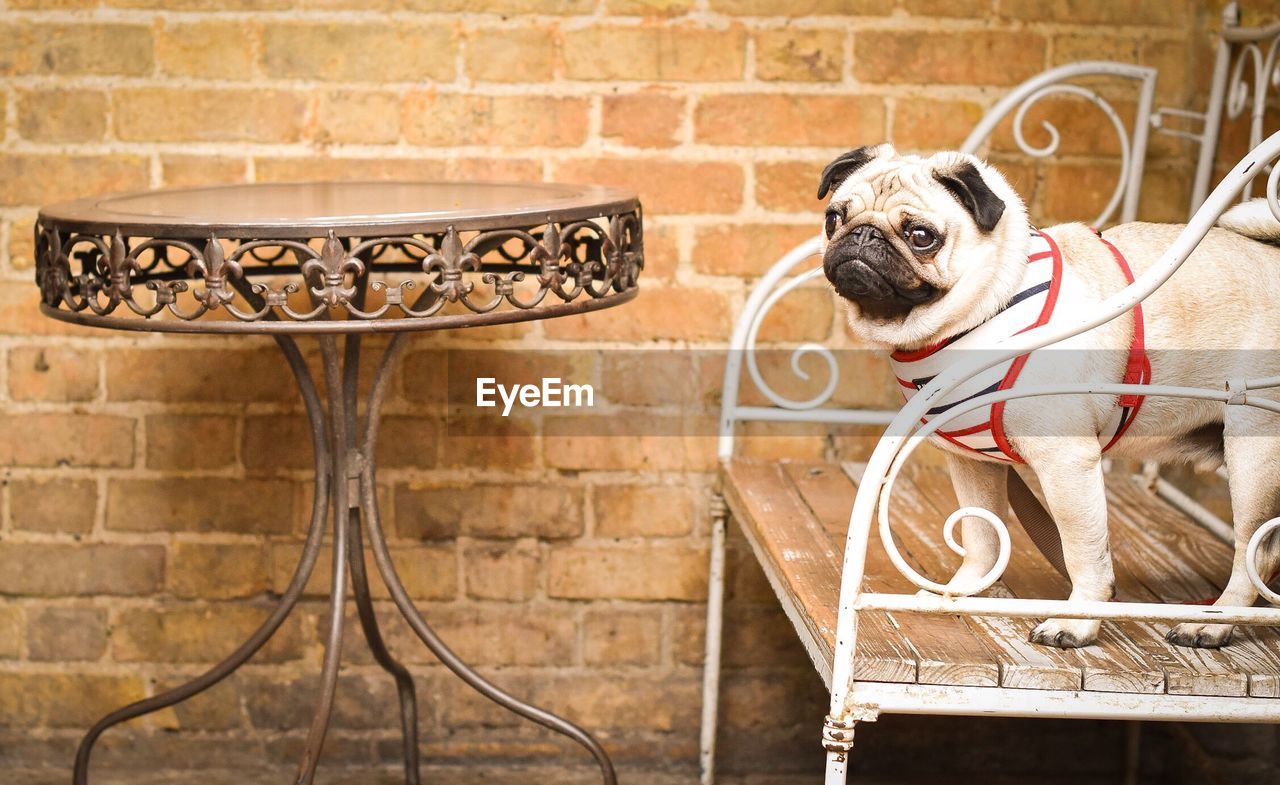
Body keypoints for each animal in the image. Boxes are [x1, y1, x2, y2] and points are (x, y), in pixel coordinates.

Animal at [819, 144, 1280, 645]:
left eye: (921, 236)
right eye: (833, 218)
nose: (862, 235)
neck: (985, 309)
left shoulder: (1066, 463)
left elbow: (1083, 553)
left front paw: (1075, 622)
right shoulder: (972, 462)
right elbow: (980, 536)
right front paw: (961, 593)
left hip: (1253, 454)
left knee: (1255, 554)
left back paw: (1212, 623)